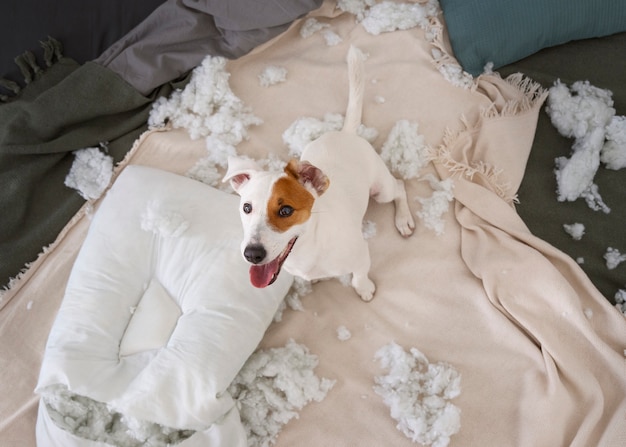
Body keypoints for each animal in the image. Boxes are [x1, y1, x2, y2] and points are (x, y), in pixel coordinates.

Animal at [222, 45, 412, 300]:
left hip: (382, 190)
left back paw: (403, 220)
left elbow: (360, 274)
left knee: (399, 187)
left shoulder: (360, 253)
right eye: (246, 208)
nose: (252, 254)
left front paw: (364, 288)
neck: (308, 248)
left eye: (285, 210)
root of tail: (346, 133)